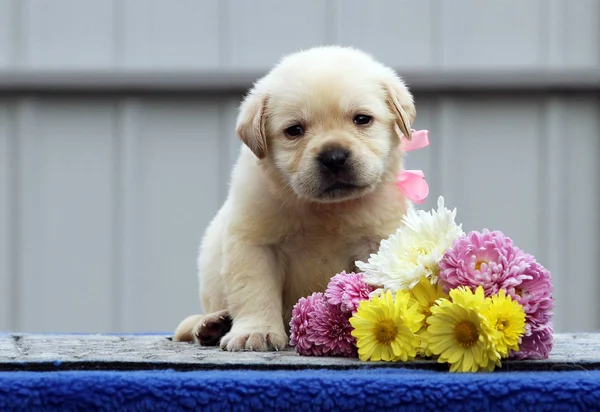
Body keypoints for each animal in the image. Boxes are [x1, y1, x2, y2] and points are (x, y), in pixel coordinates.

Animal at [175, 46, 418, 352]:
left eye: (362, 119)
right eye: (294, 130)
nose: (334, 157)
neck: (326, 210)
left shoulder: (377, 243)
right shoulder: (255, 246)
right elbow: (255, 292)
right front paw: (255, 331)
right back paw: (211, 324)